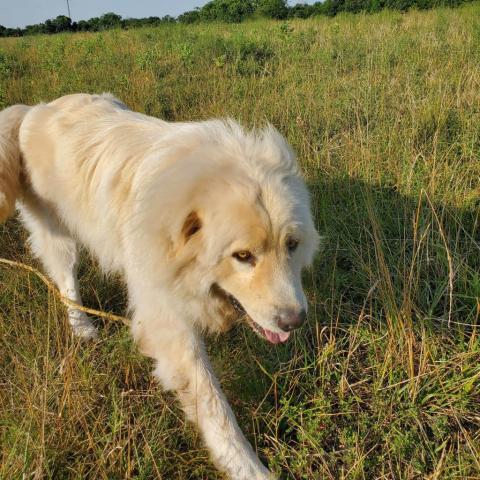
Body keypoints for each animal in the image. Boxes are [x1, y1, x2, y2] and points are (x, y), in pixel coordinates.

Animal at [0, 94, 318, 480]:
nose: (294, 321)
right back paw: (82, 326)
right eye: (242, 256)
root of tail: (35, 109)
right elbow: (213, 404)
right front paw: (248, 467)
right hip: (58, 236)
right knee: (66, 282)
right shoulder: (168, 324)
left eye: (292, 245)